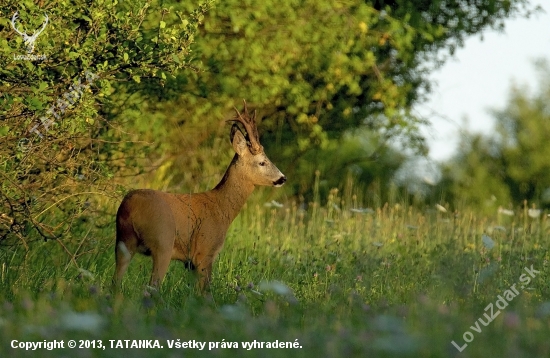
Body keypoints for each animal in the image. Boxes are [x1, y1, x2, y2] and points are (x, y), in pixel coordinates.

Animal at [113, 100, 288, 290]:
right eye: (262, 162)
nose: (282, 178)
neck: (221, 207)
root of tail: (131, 207)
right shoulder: (205, 252)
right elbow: (205, 292)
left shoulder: (191, 262)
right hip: (163, 241)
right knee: (152, 286)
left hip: (123, 241)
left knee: (115, 282)